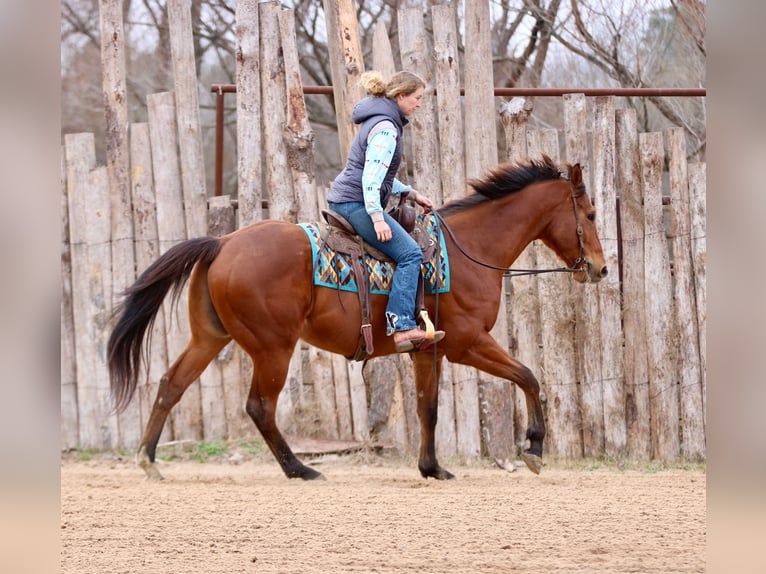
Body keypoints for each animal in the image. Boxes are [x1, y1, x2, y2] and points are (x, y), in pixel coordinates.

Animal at [107, 155, 607, 481]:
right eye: (589, 213)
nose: (601, 269)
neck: (468, 250)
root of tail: (223, 242)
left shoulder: (428, 349)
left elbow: (428, 407)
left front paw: (432, 468)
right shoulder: (468, 343)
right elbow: (528, 376)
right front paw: (535, 446)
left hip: (209, 337)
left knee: (171, 384)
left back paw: (148, 460)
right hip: (273, 347)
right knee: (259, 407)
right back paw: (300, 469)